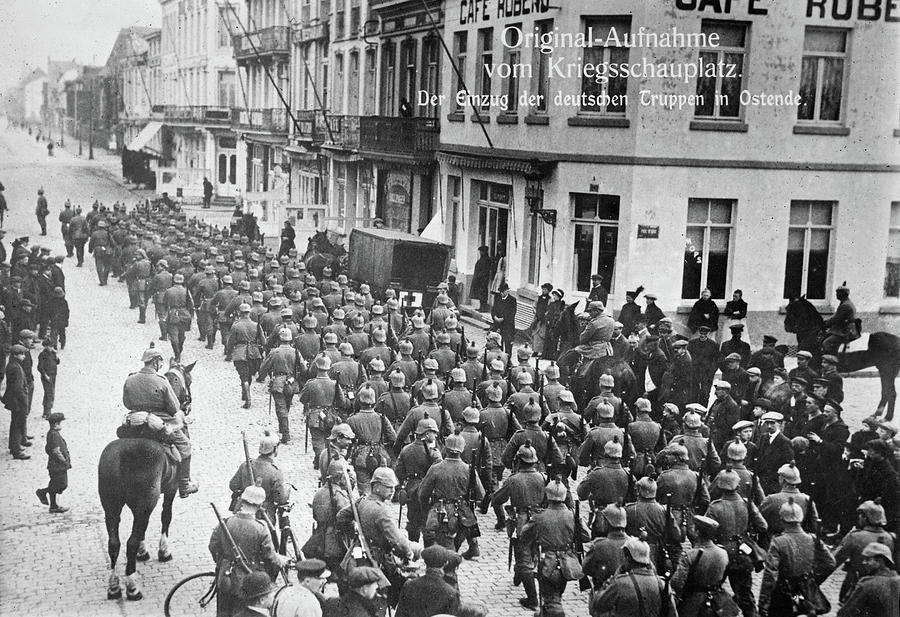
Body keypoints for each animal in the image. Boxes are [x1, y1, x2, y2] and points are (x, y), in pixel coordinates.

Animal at [98, 358, 195, 600]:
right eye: (189, 380)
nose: (187, 404)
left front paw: (144, 551)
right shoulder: (169, 491)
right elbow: (166, 517)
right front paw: (163, 551)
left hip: (111, 506)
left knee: (114, 543)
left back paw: (114, 586)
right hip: (144, 502)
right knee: (129, 542)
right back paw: (132, 587)